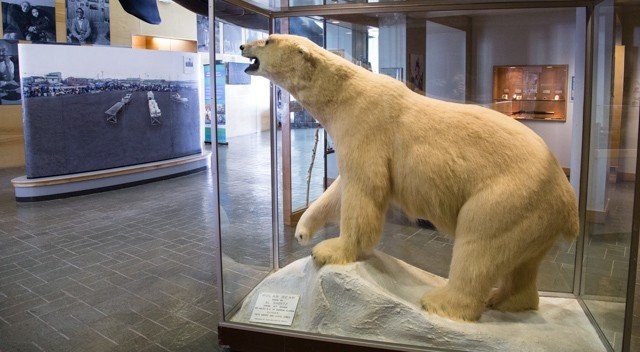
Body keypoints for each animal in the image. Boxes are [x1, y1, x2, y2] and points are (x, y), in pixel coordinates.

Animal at [240, 34, 580, 320]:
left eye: (268, 40)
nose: (244, 46)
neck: (345, 93)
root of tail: (568, 203)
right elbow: (341, 187)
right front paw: (303, 230)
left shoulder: (366, 126)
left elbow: (365, 187)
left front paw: (330, 250)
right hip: (534, 216)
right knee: (524, 262)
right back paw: (507, 300)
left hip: (509, 195)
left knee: (480, 243)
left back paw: (441, 301)